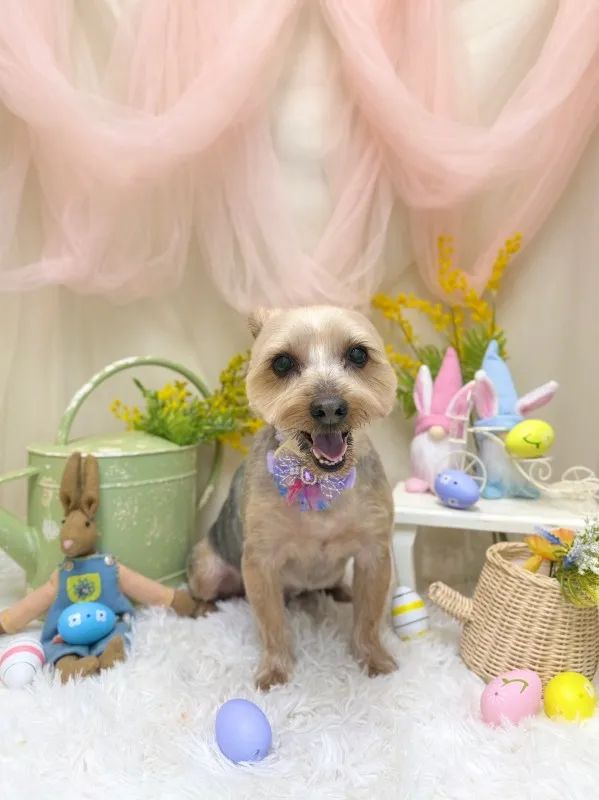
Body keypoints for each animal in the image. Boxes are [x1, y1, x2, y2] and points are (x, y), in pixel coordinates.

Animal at [187, 306, 398, 690]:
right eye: (282, 363)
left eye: (358, 355)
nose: (329, 407)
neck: (318, 480)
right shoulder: (260, 561)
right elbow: (272, 624)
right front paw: (275, 670)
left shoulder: (374, 553)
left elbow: (369, 619)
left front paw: (374, 660)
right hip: (206, 567)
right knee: (206, 589)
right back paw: (203, 609)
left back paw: (342, 592)